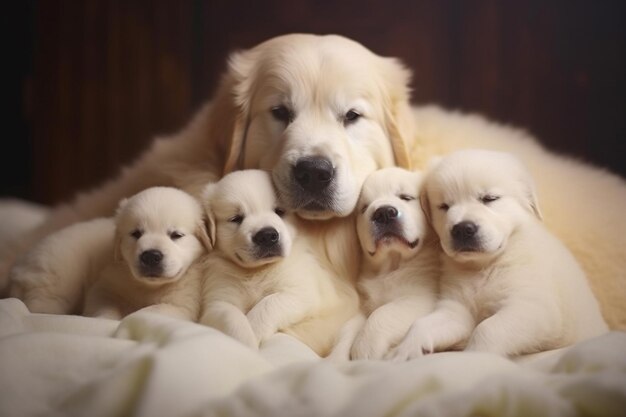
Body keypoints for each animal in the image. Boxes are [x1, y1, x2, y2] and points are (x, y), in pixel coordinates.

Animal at [83, 185, 211, 318]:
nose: (150, 256)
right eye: (136, 233)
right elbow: (104, 307)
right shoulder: (105, 286)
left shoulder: (181, 306)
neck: (150, 287)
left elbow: (148, 311)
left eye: (176, 235)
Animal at [199, 168, 352, 352]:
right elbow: (231, 317)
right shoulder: (217, 300)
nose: (267, 235)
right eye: (236, 218)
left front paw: (254, 334)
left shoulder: (302, 291)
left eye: (279, 211)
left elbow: (269, 304)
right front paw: (245, 343)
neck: (256, 271)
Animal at [330, 167, 436, 360]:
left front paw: (364, 349)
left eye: (406, 197)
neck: (391, 266)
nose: (384, 213)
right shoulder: (366, 306)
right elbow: (347, 328)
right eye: (364, 208)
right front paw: (334, 358)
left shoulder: (422, 298)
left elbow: (382, 313)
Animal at [388, 149, 608, 358]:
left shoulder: (534, 306)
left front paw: (474, 358)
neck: (485, 265)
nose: (462, 229)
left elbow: (488, 329)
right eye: (444, 206)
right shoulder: (456, 308)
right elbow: (421, 324)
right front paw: (406, 348)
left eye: (489, 199)